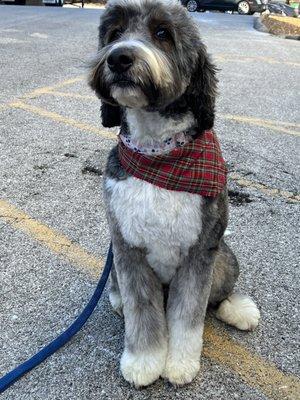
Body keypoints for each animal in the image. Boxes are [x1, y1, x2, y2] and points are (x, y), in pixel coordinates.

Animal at [89, 0, 260, 388]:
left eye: (162, 33)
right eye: (115, 33)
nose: (118, 58)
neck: (158, 152)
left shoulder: (199, 253)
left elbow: (188, 315)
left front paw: (180, 364)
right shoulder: (127, 249)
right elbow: (141, 310)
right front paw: (144, 361)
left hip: (222, 257)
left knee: (220, 293)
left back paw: (238, 309)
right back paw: (117, 301)